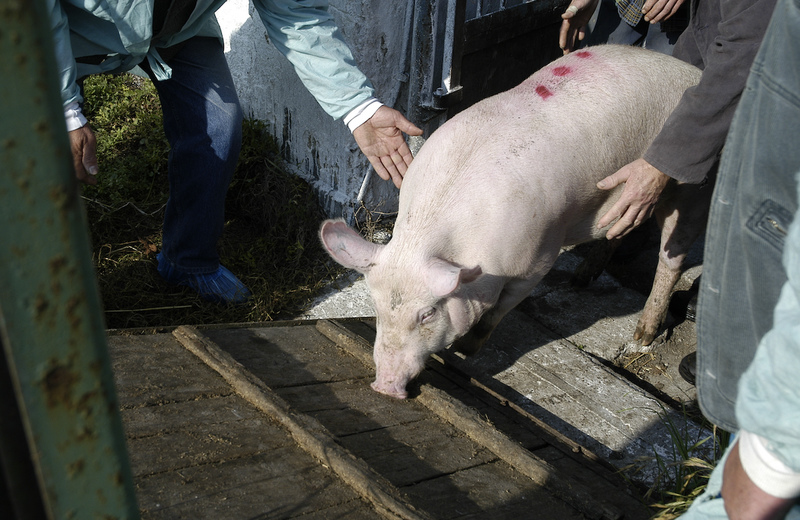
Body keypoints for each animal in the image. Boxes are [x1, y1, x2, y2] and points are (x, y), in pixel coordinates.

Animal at [318, 46, 708, 400]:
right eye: (377, 308)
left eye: (427, 314)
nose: (384, 386)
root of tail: (692, 71)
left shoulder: (537, 259)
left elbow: (499, 310)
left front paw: (466, 351)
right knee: (621, 230)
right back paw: (581, 279)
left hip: (691, 187)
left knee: (672, 256)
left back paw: (642, 335)